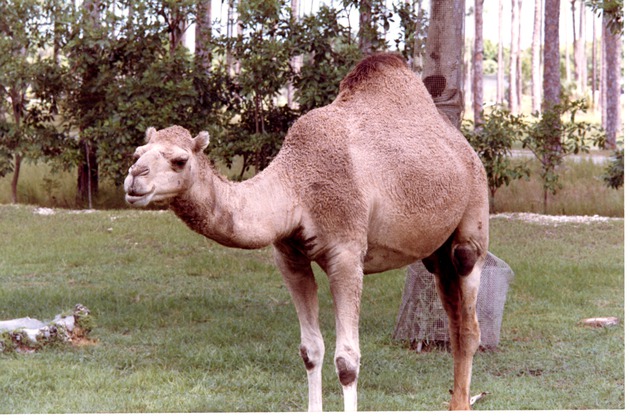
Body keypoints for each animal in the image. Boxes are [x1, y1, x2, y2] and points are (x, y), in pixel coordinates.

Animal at [123, 52, 488, 410]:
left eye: (180, 160)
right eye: (137, 153)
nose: (133, 178)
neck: (296, 184)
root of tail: (466, 149)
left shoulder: (347, 253)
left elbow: (347, 362)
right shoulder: (290, 255)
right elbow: (310, 351)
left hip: (472, 225)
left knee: (469, 319)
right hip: (437, 256)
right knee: (455, 322)